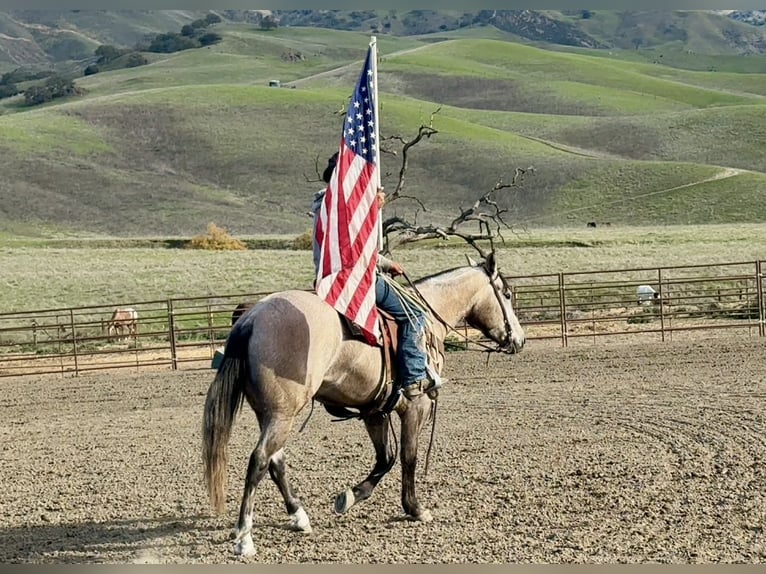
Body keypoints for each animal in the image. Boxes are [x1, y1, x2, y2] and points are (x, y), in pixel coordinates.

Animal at [202, 251, 525, 556]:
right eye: (507, 294)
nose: (519, 340)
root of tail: (252, 318)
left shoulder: (375, 411)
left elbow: (386, 457)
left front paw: (349, 497)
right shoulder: (415, 405)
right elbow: (408, 456)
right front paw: (415, 508)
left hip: (270, 413)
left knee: (275, 462)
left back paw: (299, 516)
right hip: (282, 414)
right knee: (258, 461)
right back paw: (244, 537)